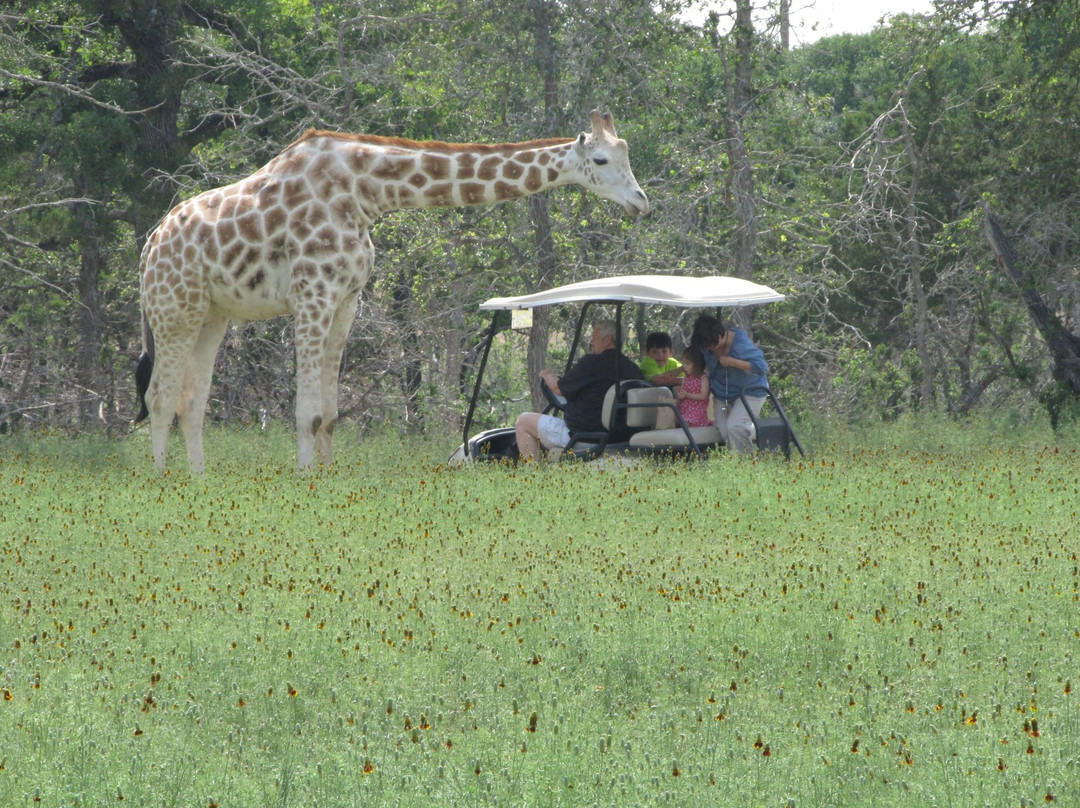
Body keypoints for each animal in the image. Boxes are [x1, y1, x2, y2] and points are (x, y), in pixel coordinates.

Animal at [130, 110, 643, 470]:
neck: (367, 193)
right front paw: (303, 479)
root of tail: (149, 247)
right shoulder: (312, 294)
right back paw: (163, 480)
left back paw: (198, 478)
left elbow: (329, 414)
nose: (641, 202)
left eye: (627, 157)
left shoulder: (346, 300)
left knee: (190, 402)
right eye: (601, 160)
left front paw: (326, 478)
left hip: (210, 316)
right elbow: (307, 412)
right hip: (173, 311)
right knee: (158, 398)